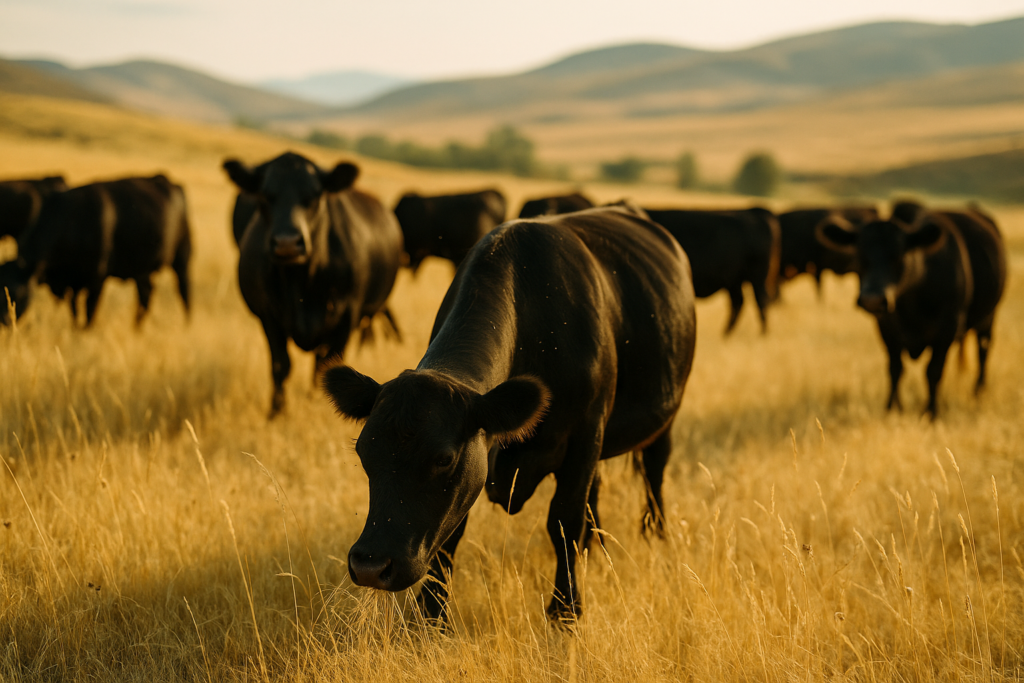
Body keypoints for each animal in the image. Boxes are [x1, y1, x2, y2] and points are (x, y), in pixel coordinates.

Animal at [0, 175, 191, 327]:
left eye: (18, 292)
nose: (5, 322)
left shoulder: (97, 280)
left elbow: (89, 314)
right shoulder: (73, 283)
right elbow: (75, 313)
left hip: (182, 258)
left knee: (184, 293)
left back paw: (186, 326)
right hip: (141, 271)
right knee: (145, 296)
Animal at [223, 152, 404, 418]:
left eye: (315, 195)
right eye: (266, 195)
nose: (287, 243)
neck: (301, 284)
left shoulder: (346, 317)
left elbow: (325, 366)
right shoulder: (269, 316)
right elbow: (281, 365)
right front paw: (276, 412)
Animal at [323, 204, 697, 624]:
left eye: (443, 459)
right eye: (363, 452)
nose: (371, 565)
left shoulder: (585, 435)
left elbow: (564, 519)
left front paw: (566, 610)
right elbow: (451, 536)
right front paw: (432, 616)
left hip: (664, 416)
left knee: (653, 472)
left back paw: (655, 535)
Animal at [643, 207, 780, 334]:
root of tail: (757, 212)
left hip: (758, 277)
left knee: (761, 301)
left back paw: (761, 334)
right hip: (734, 281)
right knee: (738, 302)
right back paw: (726, 335)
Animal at [818, 206, 1006, 417]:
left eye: (899, 255)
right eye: (860, 255)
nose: (872, 299)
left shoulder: (948, 327)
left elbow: (933, 371)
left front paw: (931, 411)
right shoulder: (886, 327)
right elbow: (895, 369)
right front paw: (892, 409)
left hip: (989, 317)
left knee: (983, 350)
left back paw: (978, 391)